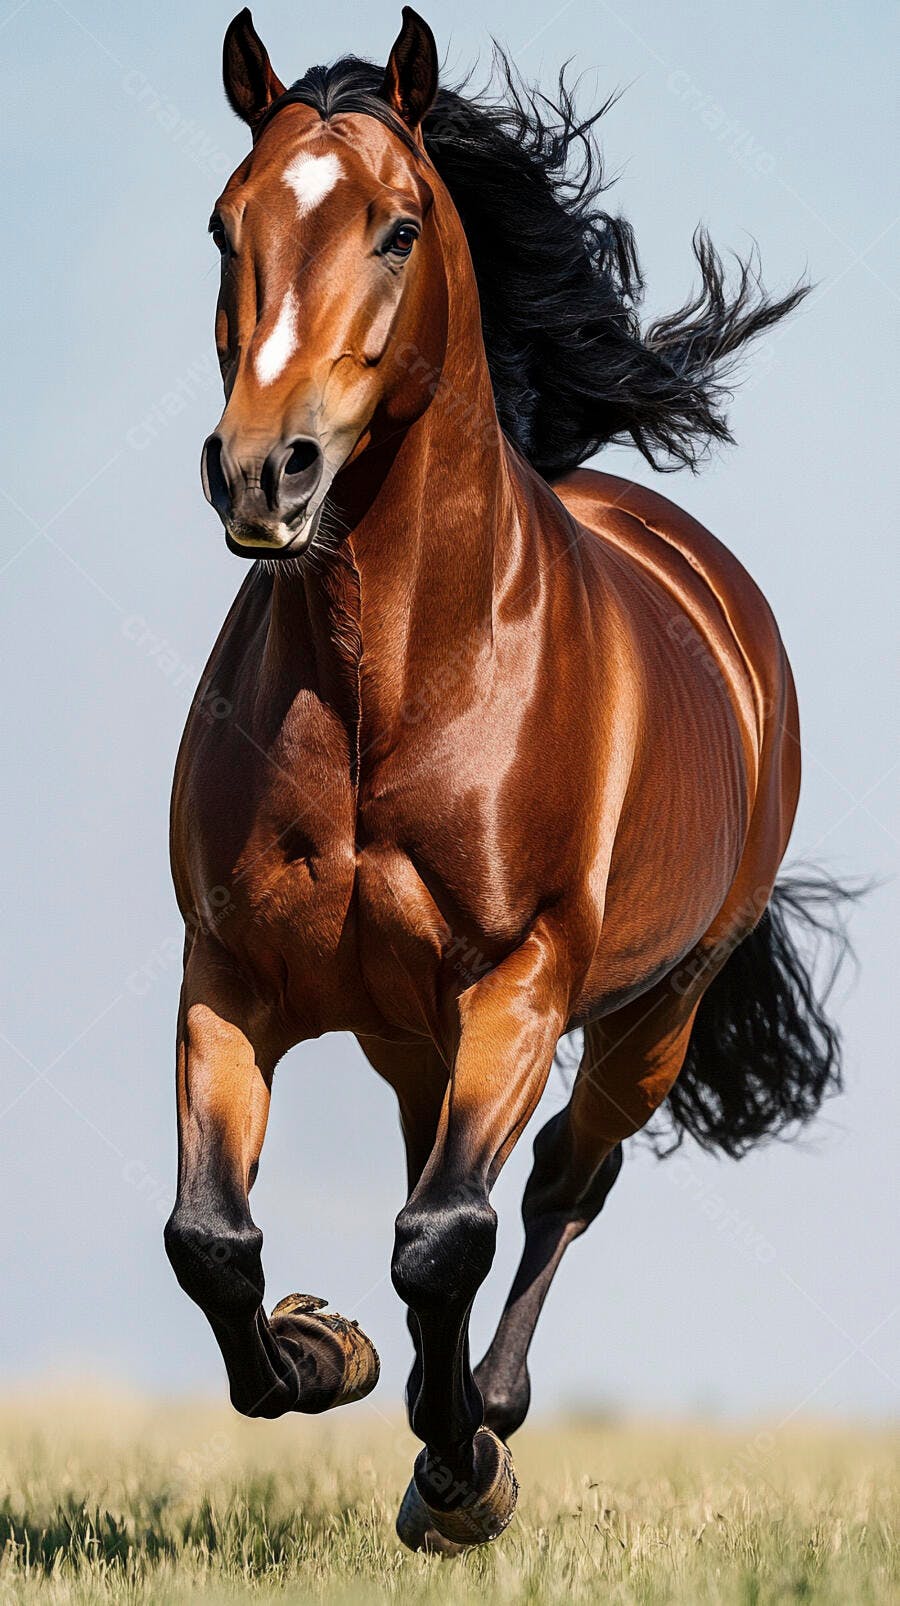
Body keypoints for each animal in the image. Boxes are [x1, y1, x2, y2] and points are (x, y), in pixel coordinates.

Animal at [165, 7, 849, 1552]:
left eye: (401, 227)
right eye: (228, 224)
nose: (263, 474)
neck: (389, 682)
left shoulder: (521, 980)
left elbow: (446, 1234)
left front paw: (463, 1467)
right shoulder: (230, 974)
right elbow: (214, 1239)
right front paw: (324, 1350)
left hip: (653, 1013)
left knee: (554, 1186)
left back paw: (477, 1422)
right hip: (411, 1027)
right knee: (445, 1179)